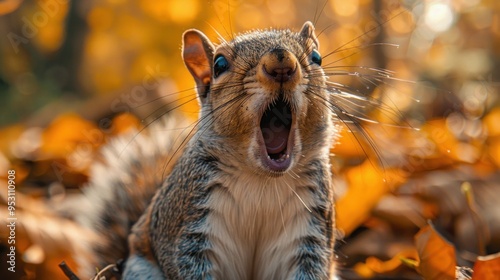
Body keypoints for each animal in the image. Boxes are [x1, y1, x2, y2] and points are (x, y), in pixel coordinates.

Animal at [74, 20, 338, 278]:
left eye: (316, 57)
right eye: (219, 64)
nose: (281, 63)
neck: (262, 179)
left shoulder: (310, 229)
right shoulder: (188, 224)